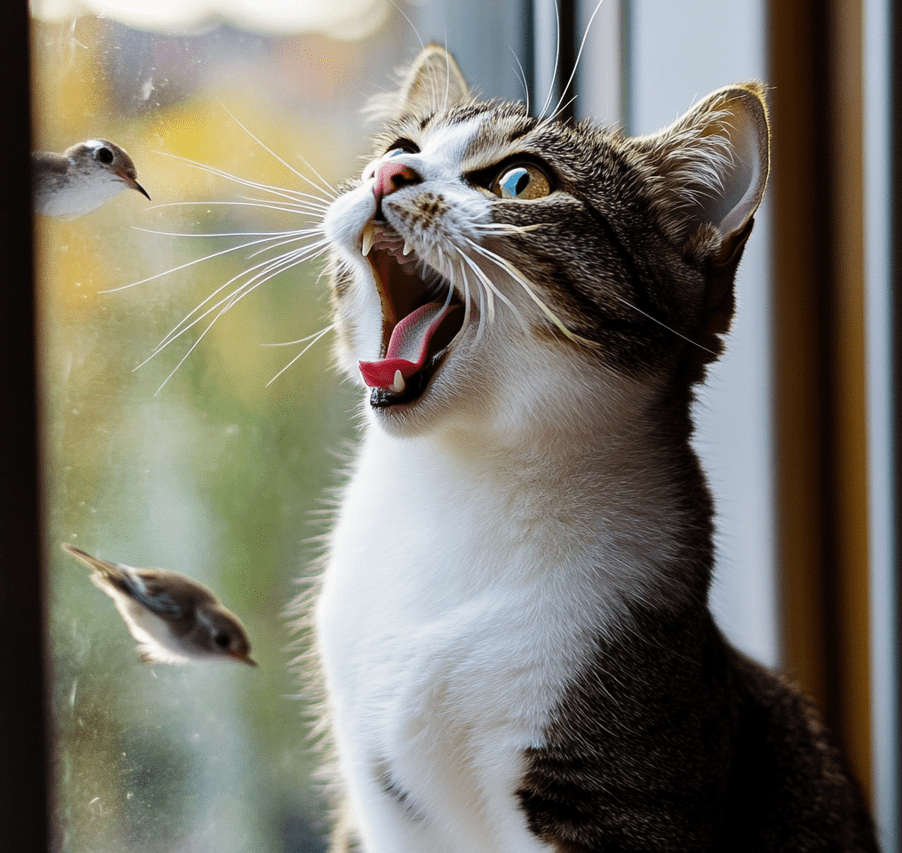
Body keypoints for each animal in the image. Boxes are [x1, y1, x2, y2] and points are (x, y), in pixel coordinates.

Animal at [312, 45, 884, 852]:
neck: (460, 482)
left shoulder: (610, 783)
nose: (387, 175)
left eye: (520, 181)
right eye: (400, 146)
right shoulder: (381, 799)